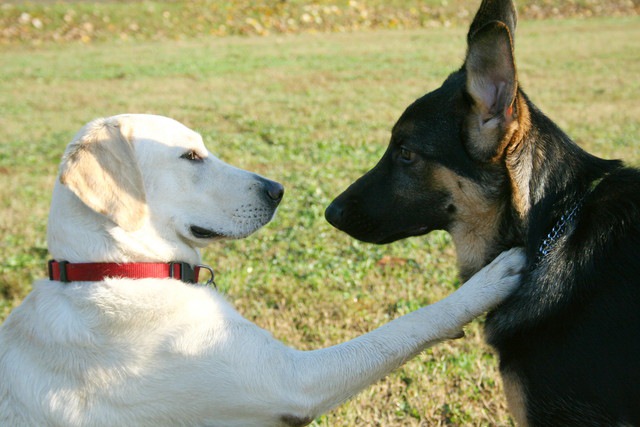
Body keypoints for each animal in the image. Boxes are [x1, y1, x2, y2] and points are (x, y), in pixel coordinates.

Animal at [0, 114, 524, 427]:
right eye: (191, 156)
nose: (277, 190)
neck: (119, 268)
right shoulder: (294, 380)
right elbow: (399, 330)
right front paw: (487, 282)